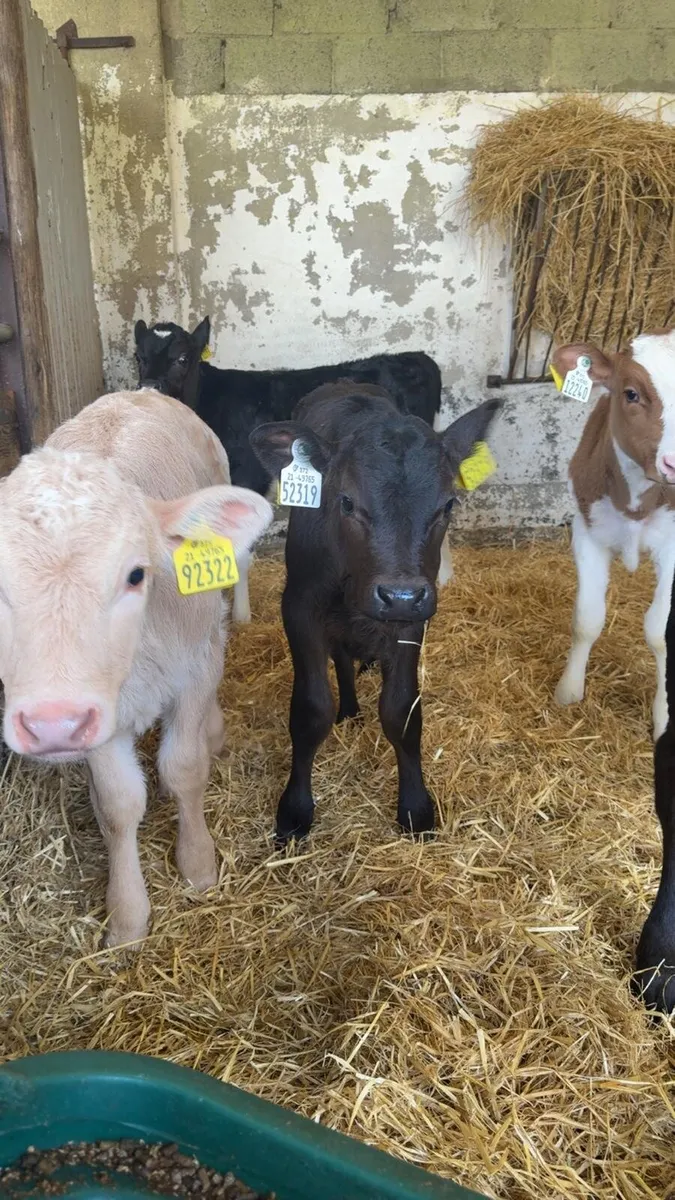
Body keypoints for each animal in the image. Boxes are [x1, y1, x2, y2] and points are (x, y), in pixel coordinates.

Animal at [0, 390, 272, 947]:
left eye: (135, 574)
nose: (50, 724)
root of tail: (136, 391)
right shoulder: (100, 710)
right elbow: (119, 806)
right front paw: (127, 916)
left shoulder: (194, 669)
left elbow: (185, 768)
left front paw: (198, 863)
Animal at [249, 381, 500, 844]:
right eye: (346, 502)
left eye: (448, 505)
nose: (398, 594)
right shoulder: (300, 608)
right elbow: (311, 709)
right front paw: (295, 810)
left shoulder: (414, 616)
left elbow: (401, 711)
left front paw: (415, 807)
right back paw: (349, 707)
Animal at [552, 329, 675, 740]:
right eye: (631, 393)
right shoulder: (587, 529)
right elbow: (587, 619)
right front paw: (568, 691)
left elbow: (659, 632)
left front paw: (664, 716)